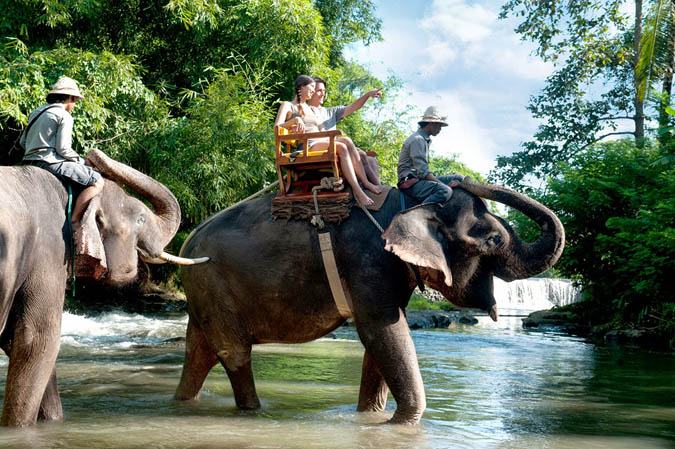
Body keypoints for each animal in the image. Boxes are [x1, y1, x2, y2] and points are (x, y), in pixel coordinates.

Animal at [176, 177, 564, 425]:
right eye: (494, 239)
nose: (464, 177)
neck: (408, 206)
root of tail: (188, 240)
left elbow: (382, 339)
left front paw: (370, 418)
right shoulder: (367, 259)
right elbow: (382, 330)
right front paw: (401, 425)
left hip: (204, 292)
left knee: (199, 352)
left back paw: (183, 402)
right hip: (212, 284)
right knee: (233, 352)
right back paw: (254, 412)